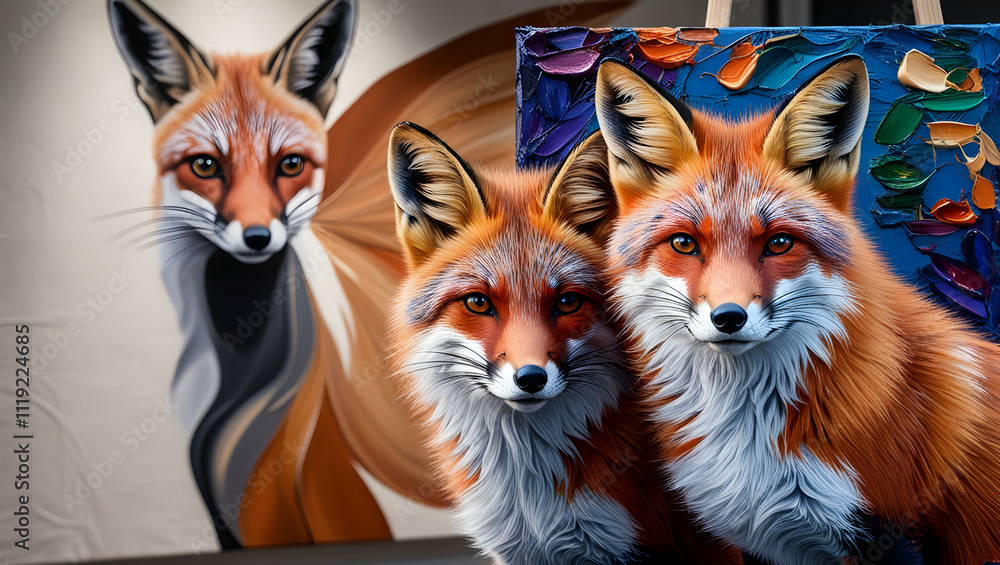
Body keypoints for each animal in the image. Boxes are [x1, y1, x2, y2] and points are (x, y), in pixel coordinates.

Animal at [595, 55, 1000, 564]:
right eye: (684, 243)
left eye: (779, 243)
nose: (729, 318)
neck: (747, 434)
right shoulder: (759, 539)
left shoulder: (892, 534)